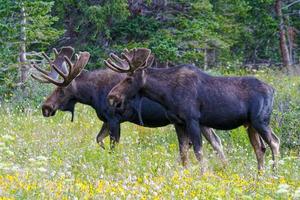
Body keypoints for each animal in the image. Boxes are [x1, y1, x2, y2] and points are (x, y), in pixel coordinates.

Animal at [31, 45, 226, 162]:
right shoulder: (106, 120)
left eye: (61, 90)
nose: (46, 107)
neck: (92, 95)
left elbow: (112, 145)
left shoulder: (114, 118)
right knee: (216, 142)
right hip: (202, 121)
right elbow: (98, 139)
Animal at [106, 47, 282, 170]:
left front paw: (203, 174)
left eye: (129, 78)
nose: (112, 96)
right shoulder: (178, 122)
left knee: (274, 141)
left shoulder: (192, 119)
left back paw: (274, 172)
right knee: (259, 149)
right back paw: (259, 175)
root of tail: (273, 90)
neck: (165, 94)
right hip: (250, 124)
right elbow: (183, 153)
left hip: (260, 120)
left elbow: (198, 151)